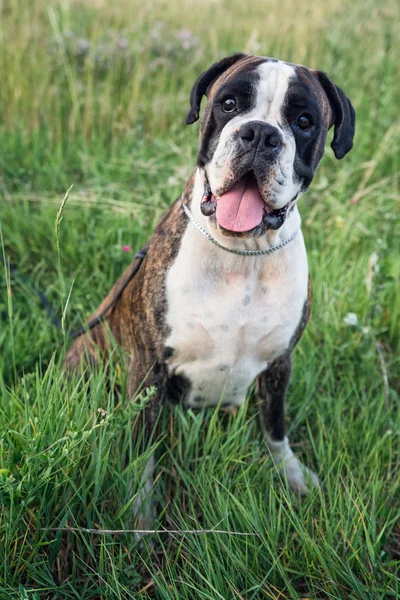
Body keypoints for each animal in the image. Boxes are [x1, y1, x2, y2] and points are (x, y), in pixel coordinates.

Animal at [66, 54, 356, 516]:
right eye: (229, 104)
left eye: (304, 121)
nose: (260, 134)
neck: (242, 253)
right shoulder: (149, 368)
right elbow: (143, 448)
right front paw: (139, 511)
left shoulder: (280, 364)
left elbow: (274, 427)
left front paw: (290, 473)